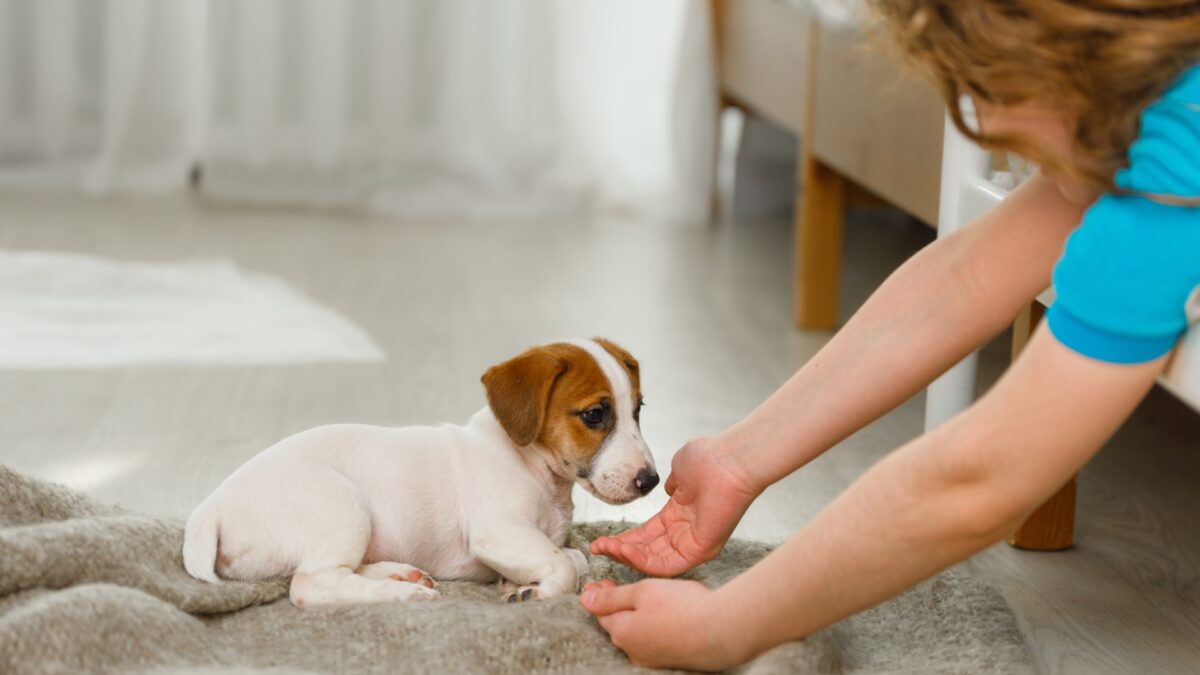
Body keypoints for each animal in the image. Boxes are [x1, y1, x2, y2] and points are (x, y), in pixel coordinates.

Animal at [182, 336, 662, 605]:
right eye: (595, 414)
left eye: (638, 410)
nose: (652, 481)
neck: (535, 470)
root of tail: (211, 506)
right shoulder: (497, 531)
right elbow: (564, 566)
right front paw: (534, 591)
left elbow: (573, 556)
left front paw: (518, 579)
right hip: (342, 507)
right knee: (309, 584)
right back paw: (400, 593)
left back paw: (399, 573)